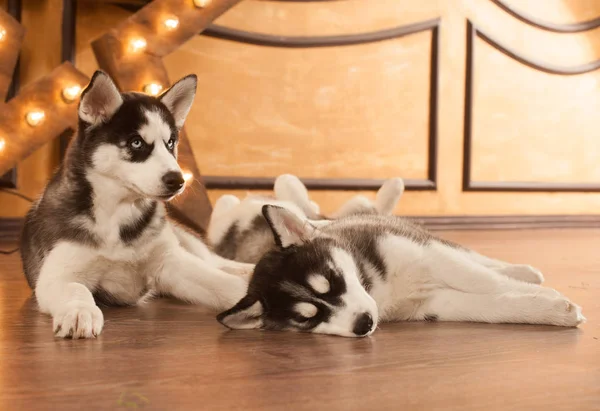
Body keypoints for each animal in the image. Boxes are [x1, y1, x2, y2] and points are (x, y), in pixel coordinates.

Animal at [20, 71, 251, 342]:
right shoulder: (56, 274)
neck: (117, 214)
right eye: (136, 143)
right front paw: (79, 311)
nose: (178, 180)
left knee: (217, 261)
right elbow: (75, 288)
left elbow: (225, 283)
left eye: (170, 143)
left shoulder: (171, 262)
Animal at [217, 206, 584, 338]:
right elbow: (491, 307)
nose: (364, 323)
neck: (378, 287)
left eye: (332, 278)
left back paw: (524, 272)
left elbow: (486, 282)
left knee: (478, 260)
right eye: (307, 318)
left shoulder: (431, 256)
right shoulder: (430, 305)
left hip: (425, 239)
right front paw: (548, 310)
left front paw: (547, 298)